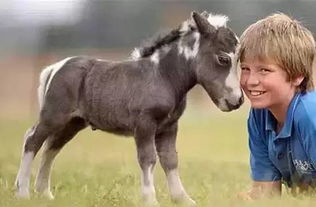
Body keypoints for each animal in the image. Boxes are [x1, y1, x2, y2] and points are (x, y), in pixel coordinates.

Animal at [15, 11, 244, 205]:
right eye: (223, 59)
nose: (237, 100)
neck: (163, 76)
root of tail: (55, 67)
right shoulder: (145, 124)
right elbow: (148, 158)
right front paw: (150, 199)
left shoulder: (169, 126)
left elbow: (170, 159)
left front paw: (182, 199)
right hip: (54, 116)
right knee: (32, 140)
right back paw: (23, 192)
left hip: (73, 123)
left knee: (51, 147)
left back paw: (45, 194)